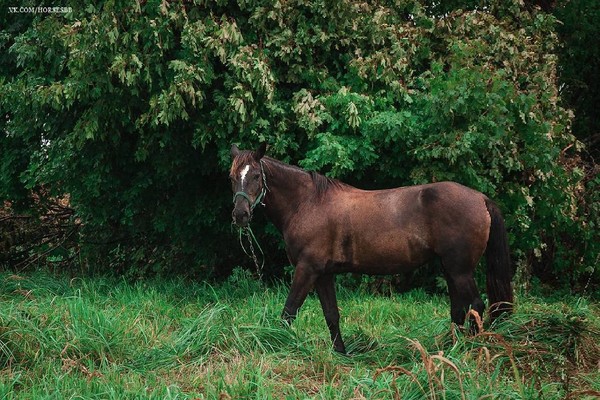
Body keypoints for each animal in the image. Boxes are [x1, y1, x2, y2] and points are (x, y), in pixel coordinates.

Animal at [229, 144, 510, 354]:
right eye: (232, 177)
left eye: (256, 176)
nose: (240, 215)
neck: (308, 203)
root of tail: (481, 199)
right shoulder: (323, 274)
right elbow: (331, 315)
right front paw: (341, 354)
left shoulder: (307, 269)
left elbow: (288, 311)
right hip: (451, 269)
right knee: (458, 309)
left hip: (460, 270)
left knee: (476, 305)